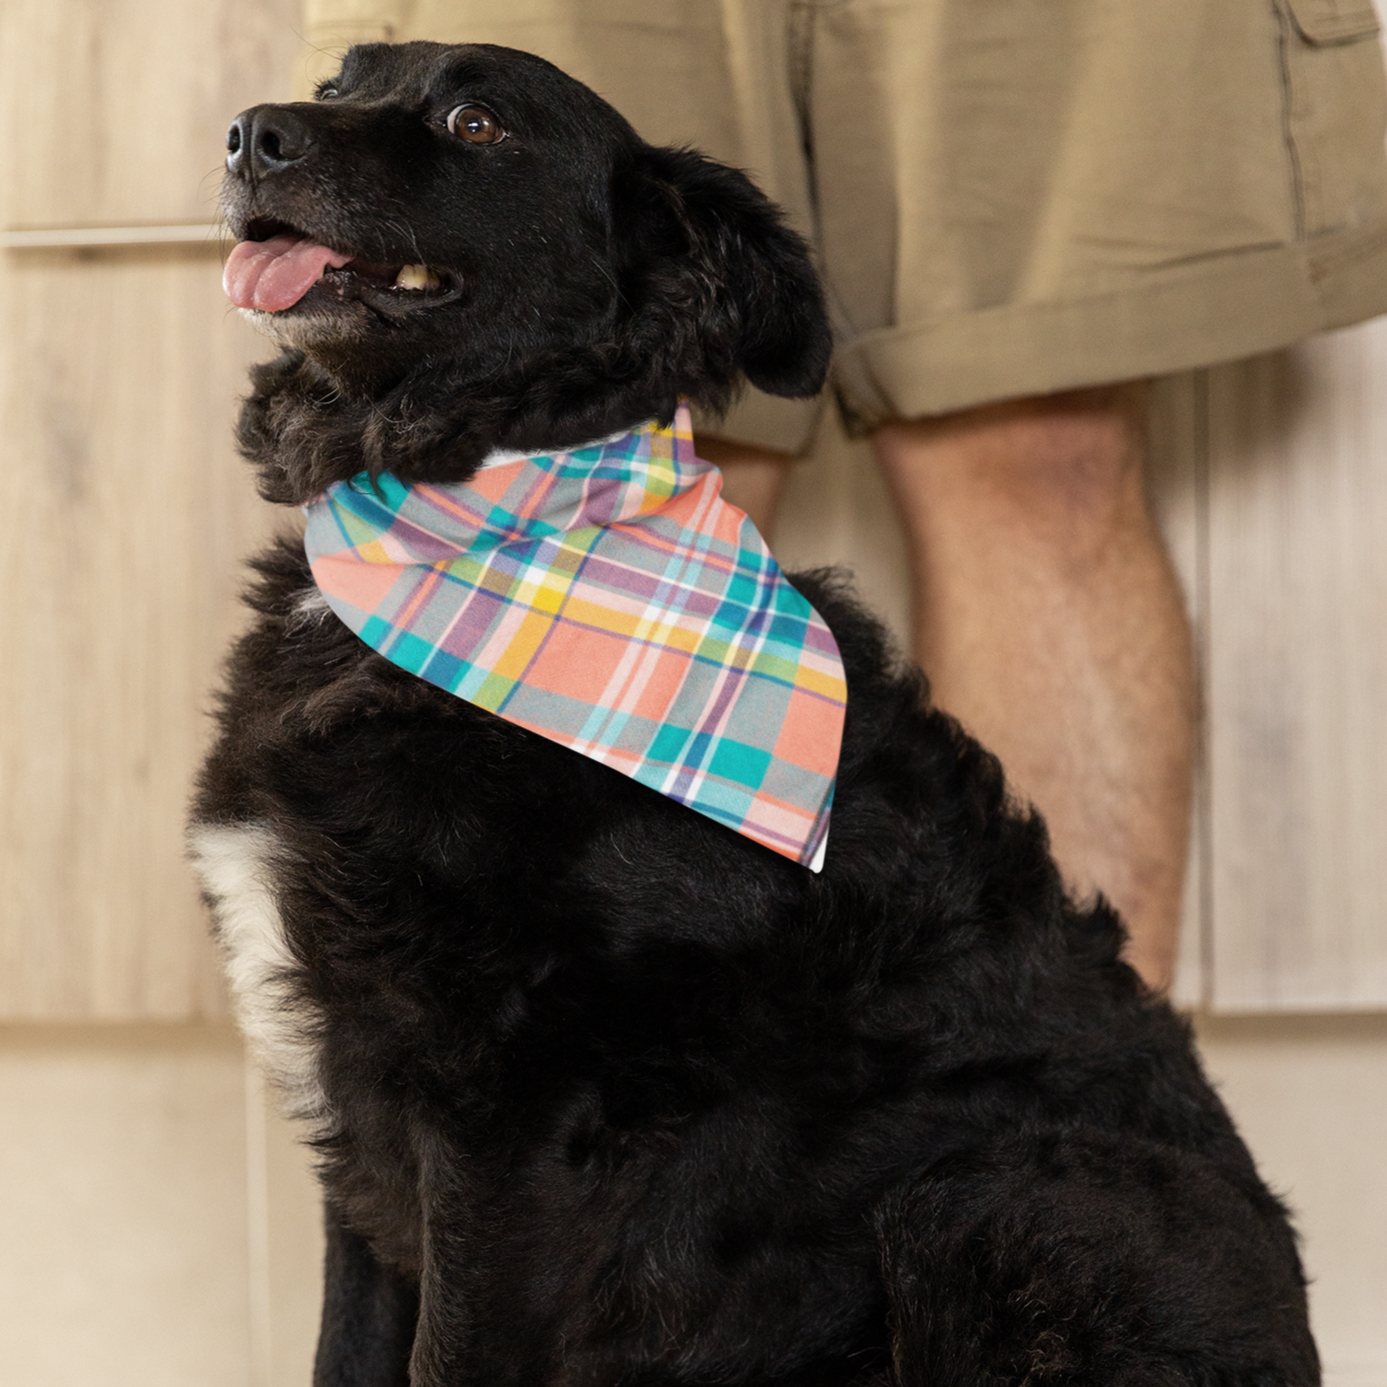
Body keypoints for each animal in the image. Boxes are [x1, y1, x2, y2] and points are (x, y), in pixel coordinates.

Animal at [190, 40, 1314, 1387]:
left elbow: (448, 1352)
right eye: (338, 82)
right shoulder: (360, 1110)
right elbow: (347, 1347)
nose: (249, 134)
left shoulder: (507, 1124)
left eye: (476, 123)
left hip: (996, 1193)